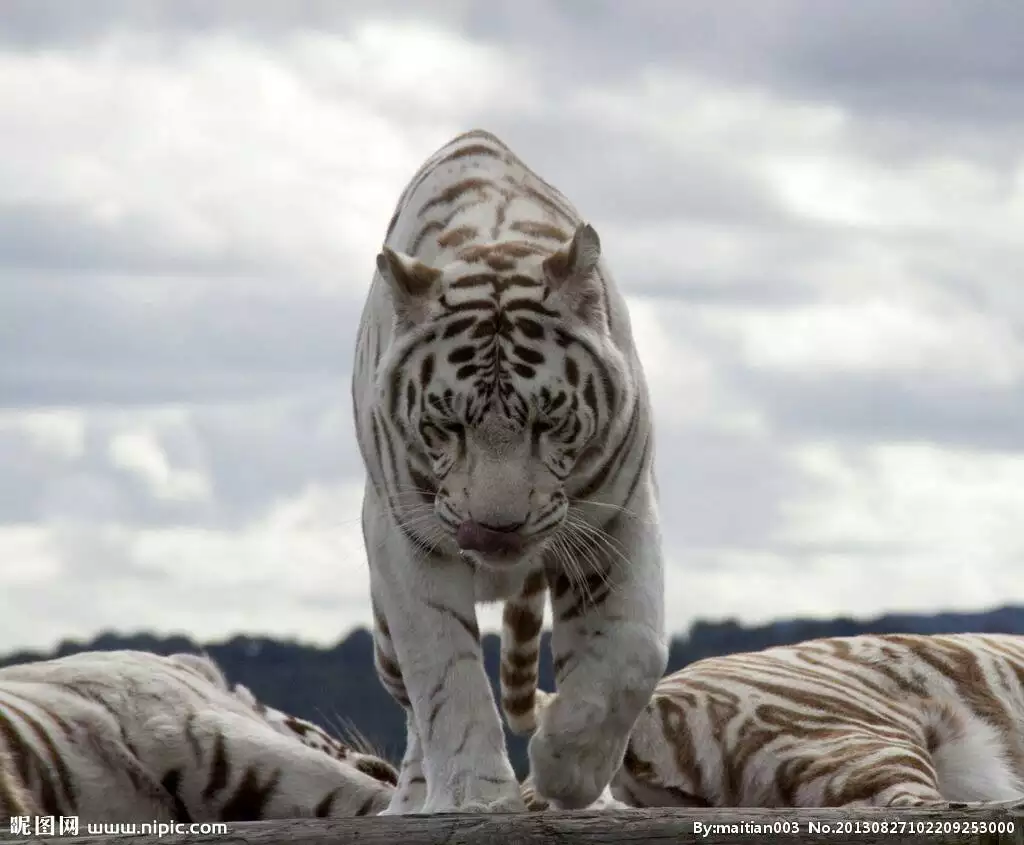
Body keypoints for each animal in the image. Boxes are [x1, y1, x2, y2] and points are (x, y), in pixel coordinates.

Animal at [352, 127, 667, 811]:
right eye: (448, 424)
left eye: (548, 421)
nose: (497, 531)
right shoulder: (406, 539)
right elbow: (445, 675)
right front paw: (472, 798)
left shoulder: (621, 518)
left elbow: (632, 652)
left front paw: (569, 771)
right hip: (383, 631)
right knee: (411, 710)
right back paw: (412, 800)